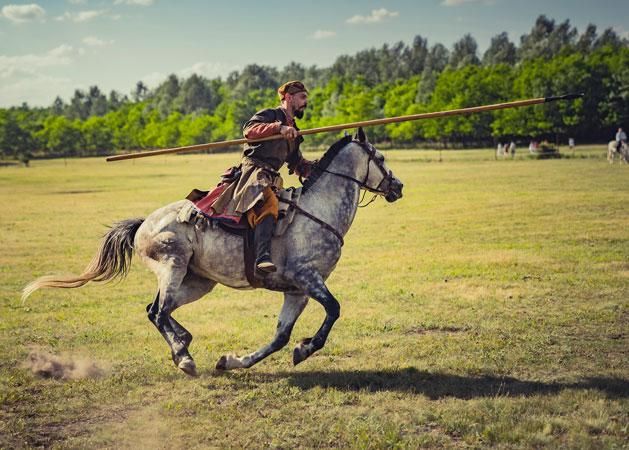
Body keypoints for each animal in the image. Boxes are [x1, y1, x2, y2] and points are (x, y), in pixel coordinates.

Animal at [23, 130, 402, 376]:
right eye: (381, 158)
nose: (398, 186)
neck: (319, 210)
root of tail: (144, 223)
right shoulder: (307, 278)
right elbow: (334, 309)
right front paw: (306, 347)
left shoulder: (297, 291)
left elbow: (280, 337)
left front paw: (235, 361)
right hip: (172, 265)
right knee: (158, 311)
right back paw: (183, 357)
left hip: (197, 282)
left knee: (155, 310)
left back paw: (184, 342)